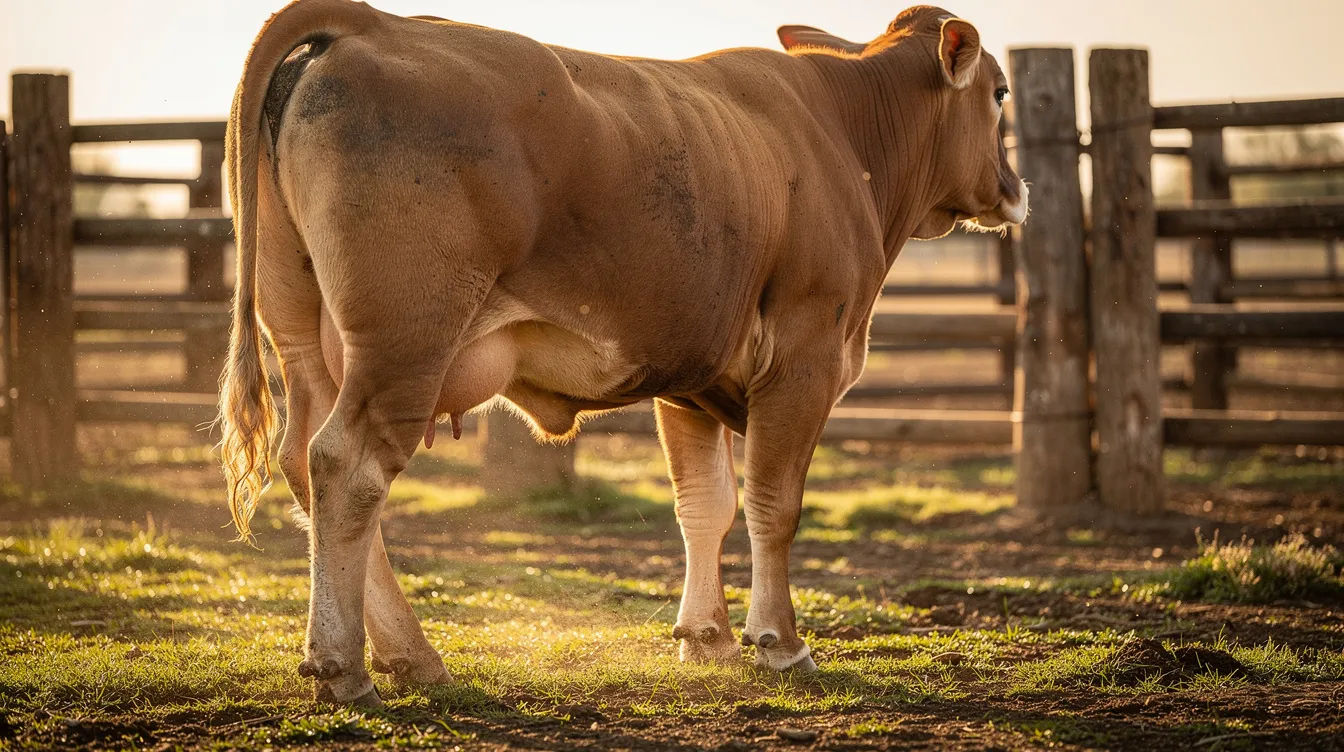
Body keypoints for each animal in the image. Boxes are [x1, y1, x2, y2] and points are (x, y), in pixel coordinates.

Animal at [219, 0, 1027, 704]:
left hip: (305, 339)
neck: (843, 136)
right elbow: (775, 503)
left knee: (305, 463)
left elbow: (706, 505)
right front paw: (781, 642)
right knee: (348, 468)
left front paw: (707, 637)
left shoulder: (692, 374)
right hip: (405, 341)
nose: (1015, 190)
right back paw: (344, 665)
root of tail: (370, 23)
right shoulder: (807, 353)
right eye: (1000, 93)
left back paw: (410, 655)